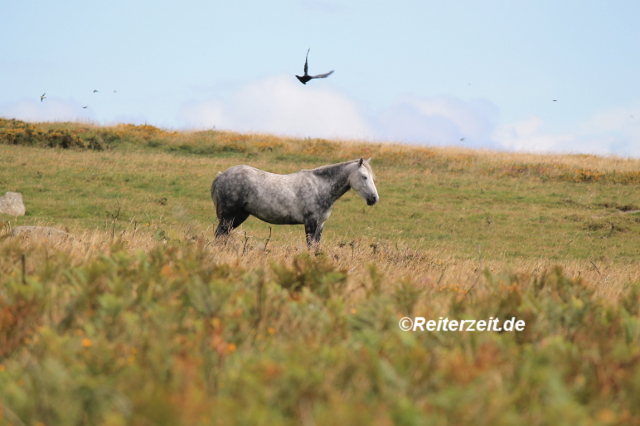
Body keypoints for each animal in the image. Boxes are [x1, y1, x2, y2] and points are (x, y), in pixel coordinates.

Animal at [210, 159, 380, 246]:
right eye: (364, 176)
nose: (374, 198)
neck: (319, 186)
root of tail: (221, 175)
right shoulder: (310, 222)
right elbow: (310, 246)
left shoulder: (320, 224)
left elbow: (316, 247)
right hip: (229, 215)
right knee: (219, 234)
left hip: (239, 216)